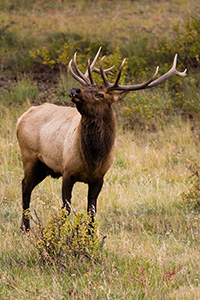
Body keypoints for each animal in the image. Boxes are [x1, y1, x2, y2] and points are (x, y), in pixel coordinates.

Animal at [16, 48, 187, 232]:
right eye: (88, 87)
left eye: (100, 94)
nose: (75, 90)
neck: (93, 159)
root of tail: (22, 116)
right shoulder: (67, 171)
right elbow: (66, 208)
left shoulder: (99, 178)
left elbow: (92, 211)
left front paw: (91, 236)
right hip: (29, 157)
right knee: (25, 187)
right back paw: (26, 228)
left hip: (45, 167)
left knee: (26, 185)